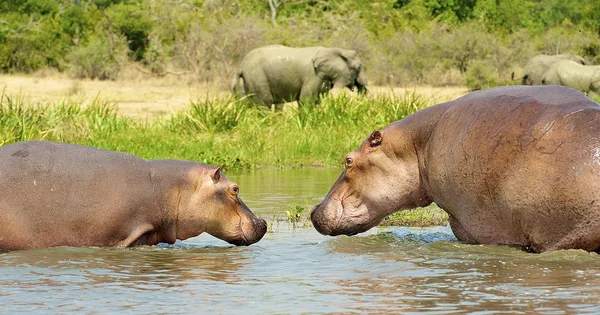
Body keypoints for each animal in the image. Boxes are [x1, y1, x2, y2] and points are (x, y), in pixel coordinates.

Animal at [231, 44, 368, 107]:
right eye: (358, 67)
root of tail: (241, 66)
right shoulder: (313, 75)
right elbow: (306, 100)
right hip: (257, 78)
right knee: (265, 104)